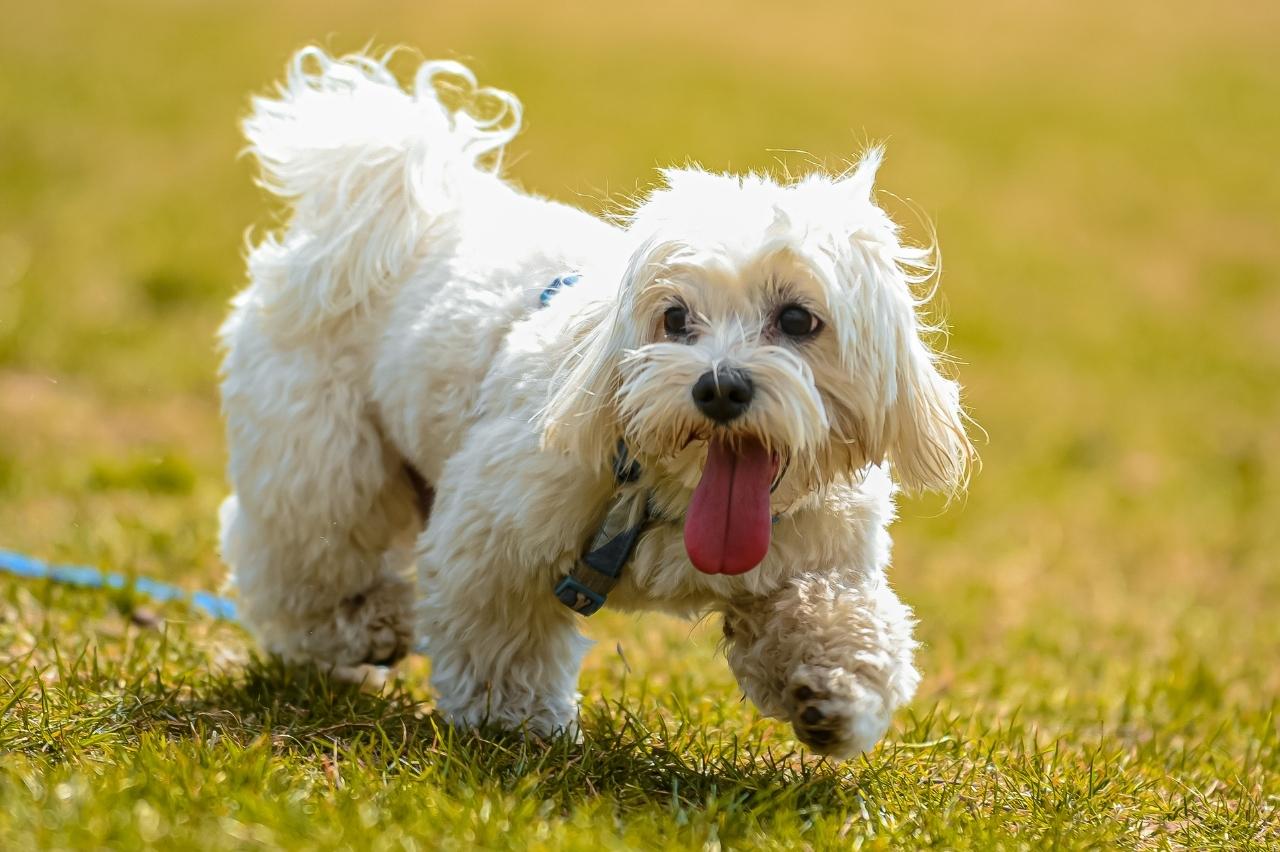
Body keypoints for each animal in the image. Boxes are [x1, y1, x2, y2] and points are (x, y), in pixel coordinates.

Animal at [220, 46, 972, 752]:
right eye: (674, 318)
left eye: (796, 319)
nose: (719, 386)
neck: (670, 494)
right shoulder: (493, 533)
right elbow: (501, 635)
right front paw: (513, 722)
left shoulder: (818, 556)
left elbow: (837, 615)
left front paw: (834, 690)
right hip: (319, 450)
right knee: (306, 550)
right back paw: (363, 625)